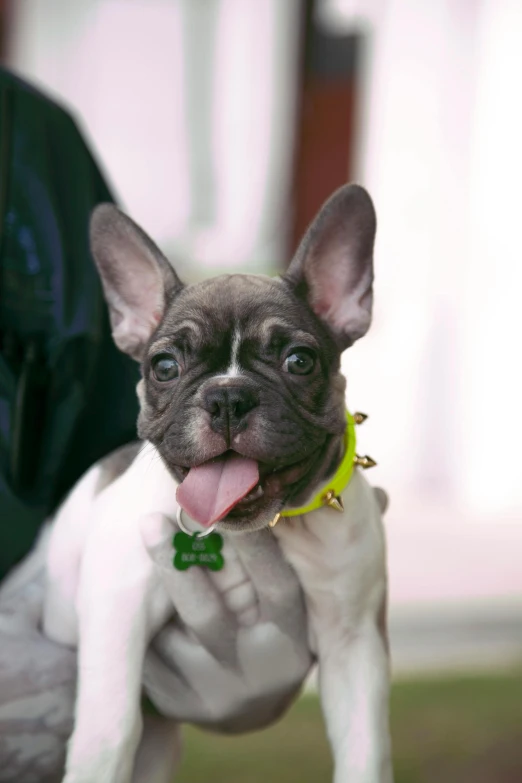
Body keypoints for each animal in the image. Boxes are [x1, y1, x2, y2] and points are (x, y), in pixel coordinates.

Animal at [41, 181, 390, 780]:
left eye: (299, 361)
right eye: (164, 367)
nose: (228, 396)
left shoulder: (354, 641)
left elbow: (365, 749)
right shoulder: (117, 606)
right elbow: (110, 727)